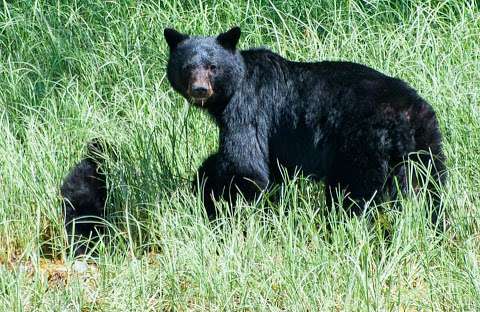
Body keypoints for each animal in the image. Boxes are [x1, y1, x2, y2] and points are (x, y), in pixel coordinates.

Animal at [164, 28, 446, 221]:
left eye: (213, 67)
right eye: (187, 67)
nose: (200, 90)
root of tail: (408, 111)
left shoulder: (248, 108)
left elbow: (245, 165)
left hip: (363, 145)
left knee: (354, 192)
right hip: (425, 145)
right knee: (430, 188)